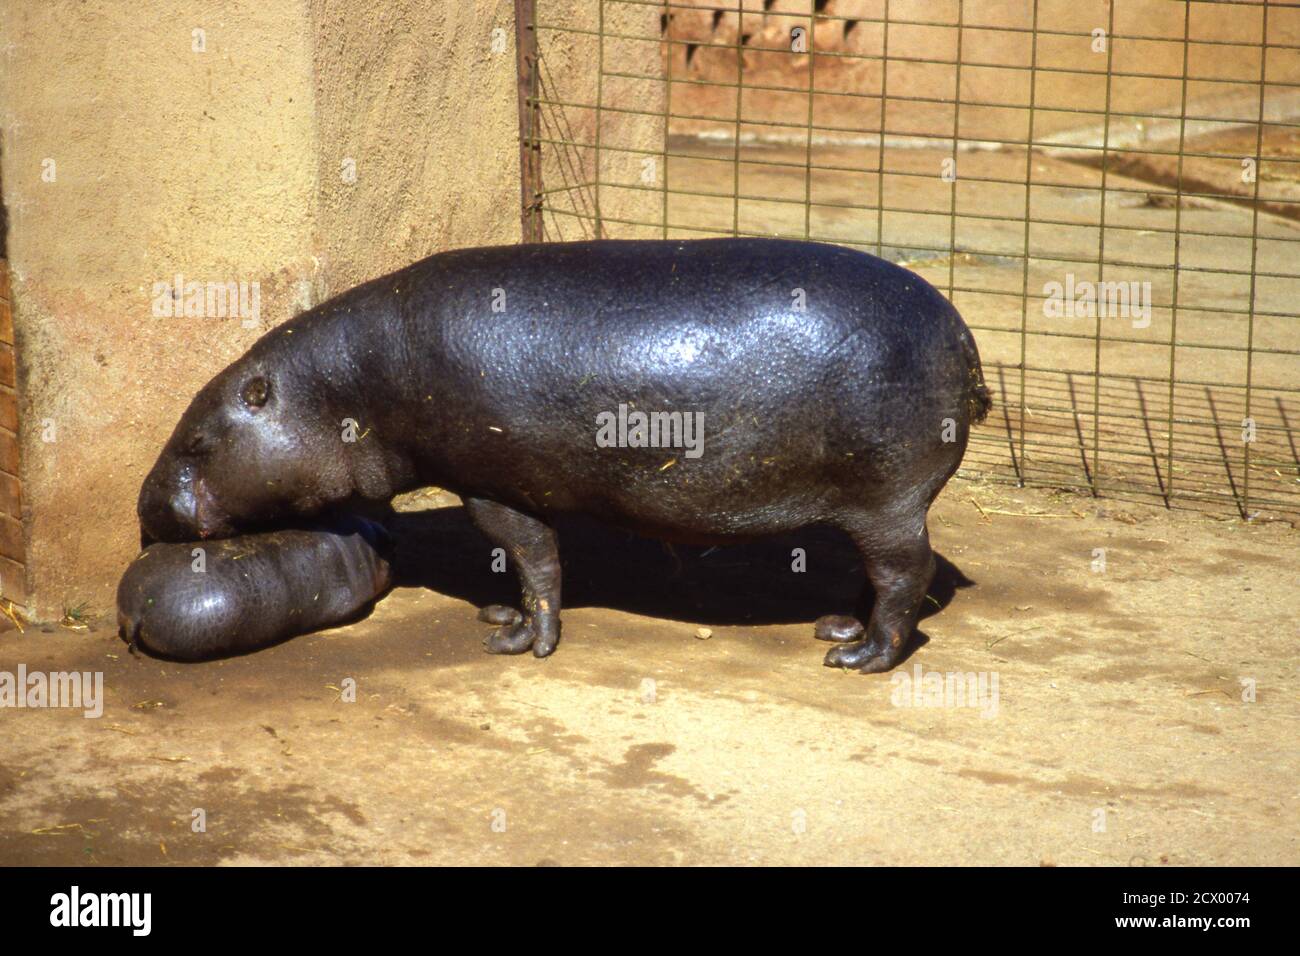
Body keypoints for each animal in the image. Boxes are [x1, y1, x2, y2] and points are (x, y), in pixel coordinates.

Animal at [137, 239, 987, 671]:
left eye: (199, 438)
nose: (145, 509)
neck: (342, 387)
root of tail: (964, 330)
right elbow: (529, 567)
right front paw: (499, 614)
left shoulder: (494, 486)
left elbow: (535, 561)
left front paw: (516, 642)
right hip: (870, 507)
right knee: (881, 575)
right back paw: (835, 629)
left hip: (887, 499)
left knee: (905, 575)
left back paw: (861, 657)